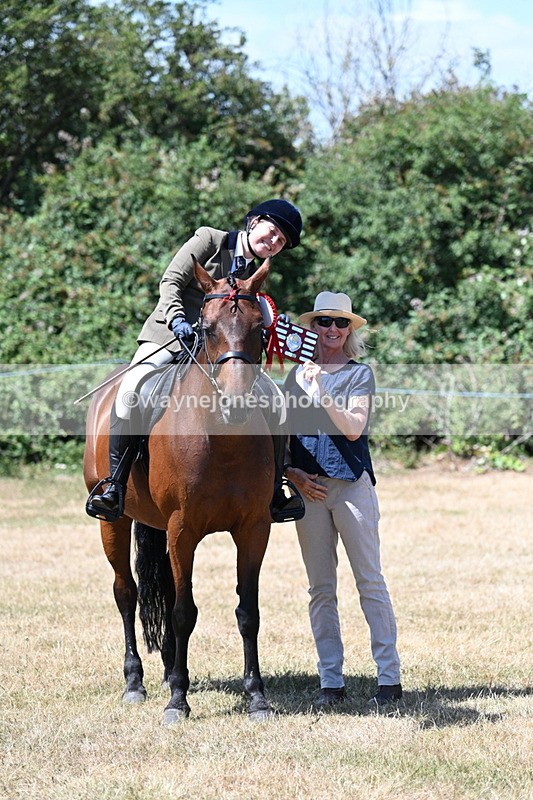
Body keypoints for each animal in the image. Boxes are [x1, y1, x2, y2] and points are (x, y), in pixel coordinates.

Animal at [83, 259, 275, 724]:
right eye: (206, 328)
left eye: (260, 329)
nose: (236, 404)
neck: (222, 438)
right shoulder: (183, 529)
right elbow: (185, 611)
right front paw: (177, 702)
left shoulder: (254, 529)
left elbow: (248, 612)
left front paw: (256, 697)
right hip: (114, 522)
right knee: (126, 593)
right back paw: (136, 682)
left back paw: (171, 669)